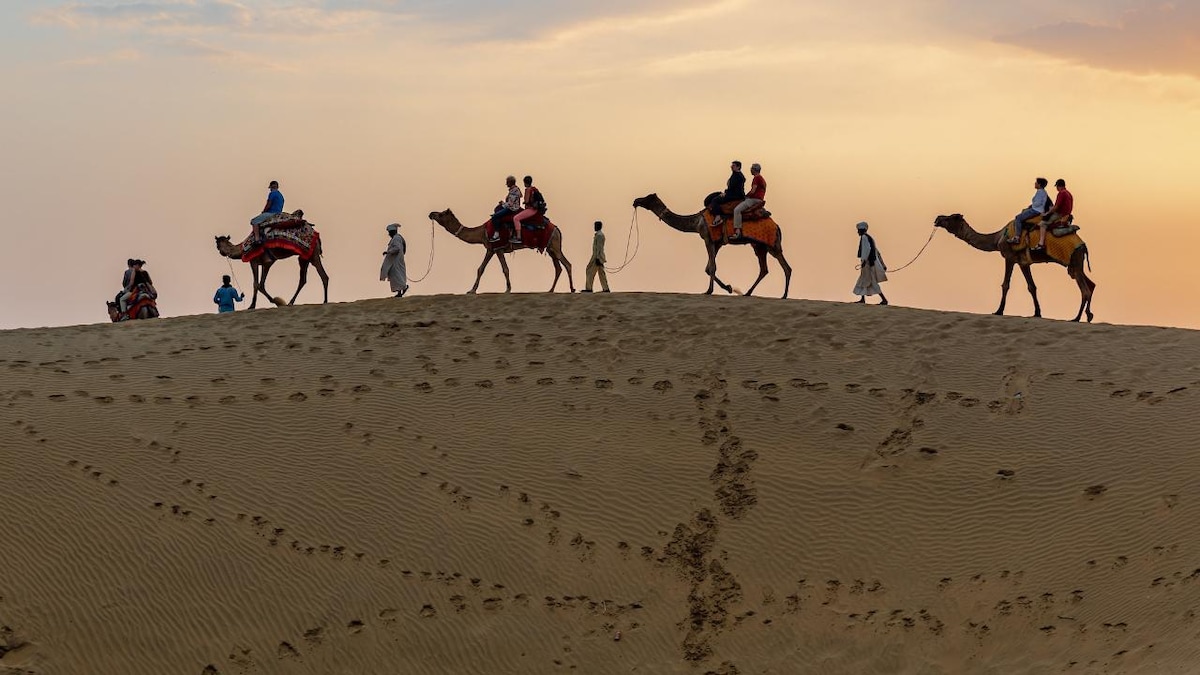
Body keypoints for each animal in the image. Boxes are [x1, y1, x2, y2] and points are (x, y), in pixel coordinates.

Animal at [427, 208, 576, 293]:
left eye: (441, 214)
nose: (431, 214)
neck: (482, 232)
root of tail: (557, 229)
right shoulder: (491, 249)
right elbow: (480, 269)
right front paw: (472, 290)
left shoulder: (498, 248)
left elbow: (505, 269)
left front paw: (508, 289)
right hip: (550, 248)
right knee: (558, 267)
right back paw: (550, 290)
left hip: (555, 245)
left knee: (567, 264)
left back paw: (572, 289)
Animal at [633, 192, 792, 296]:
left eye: (648, 197)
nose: (636, 201)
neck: (696, 222)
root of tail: (777, 226)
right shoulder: (717, 243)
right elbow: (708, 268)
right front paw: (728, 288)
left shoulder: (707, 238)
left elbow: (712, 267)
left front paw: (710, 290)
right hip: (760, 246)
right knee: (764, 269)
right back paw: (748, 293)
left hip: (772, 245)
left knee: (786, 267)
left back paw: (783, 295)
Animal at [936, 213, 1099, 321]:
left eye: (950, 218)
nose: (937, 219)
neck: (997, 238)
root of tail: (1083, 245)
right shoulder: (1023, 262)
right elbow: (1032, 287)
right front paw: (1037, 313)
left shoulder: (1009, 257)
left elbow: (1005, 284)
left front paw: (999, 311)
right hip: (1075, 264)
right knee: (1091, 285)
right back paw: (1089, 315)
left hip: (1075, 261)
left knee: (1085, 290)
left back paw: (1076, 318)